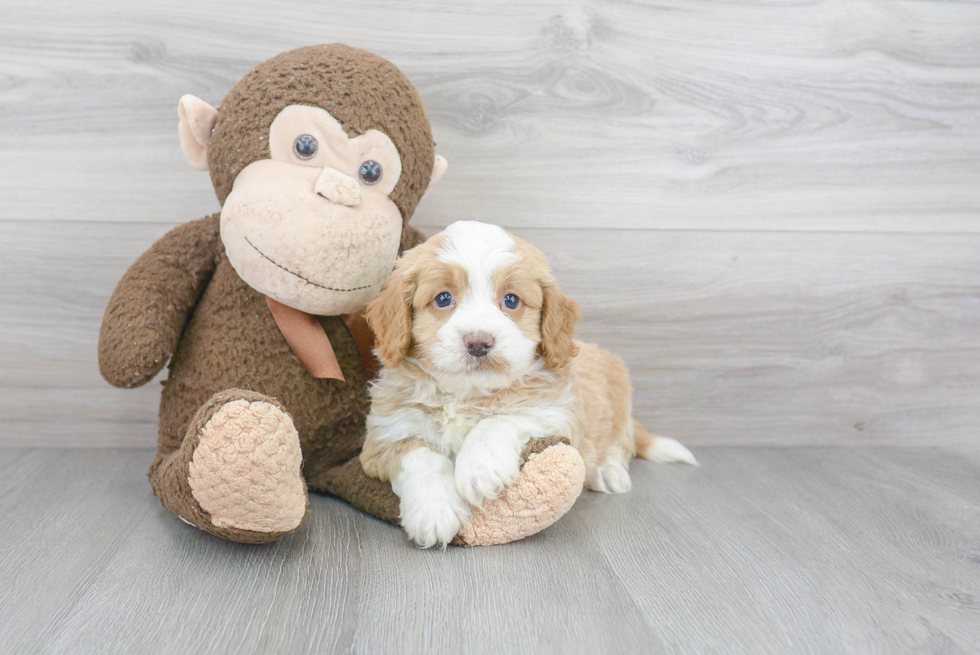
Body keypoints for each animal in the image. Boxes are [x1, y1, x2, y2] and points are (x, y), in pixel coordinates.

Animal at [362, 222, 696, 548]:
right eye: (443, 298)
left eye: (511, 300)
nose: (478, 342)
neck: (468, 395)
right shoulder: (383, 435)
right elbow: (417, 453)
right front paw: (434, 511)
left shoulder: (556, 411)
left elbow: (501, 418)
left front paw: (480, 469)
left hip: (618, 395)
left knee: (619, 442)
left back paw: (607, 471)